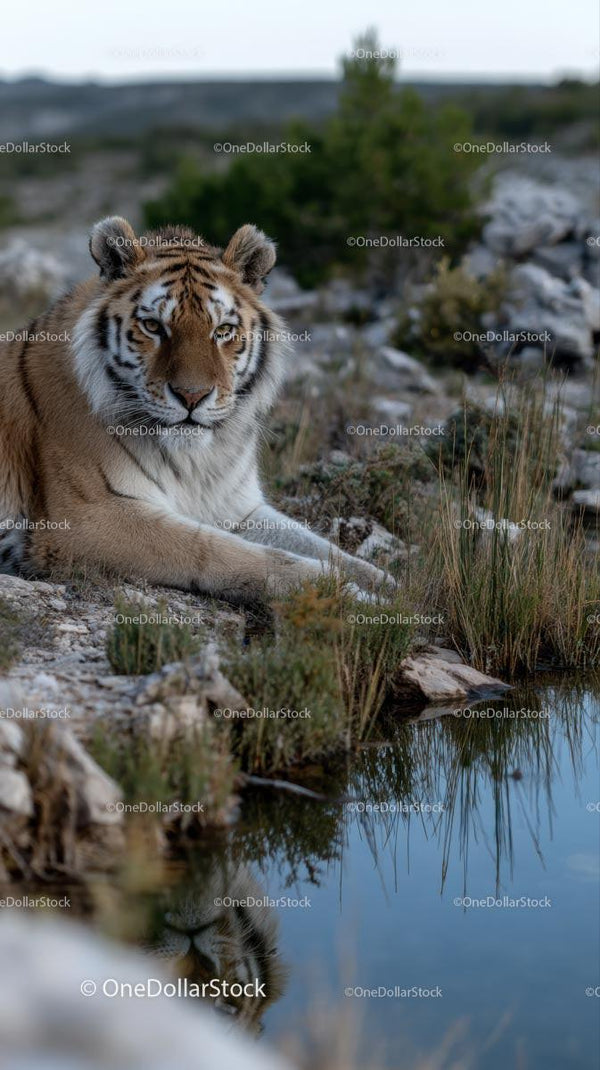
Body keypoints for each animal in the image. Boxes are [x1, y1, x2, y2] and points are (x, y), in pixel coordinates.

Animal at [0, 217, 389, 602]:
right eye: (153, 326)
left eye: (223, 330)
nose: (192, 396)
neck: (197, 460)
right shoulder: (89, 518)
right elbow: (221, 551)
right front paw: (343, 591)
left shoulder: (237, 506)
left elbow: (324, 546)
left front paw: (384, 583)